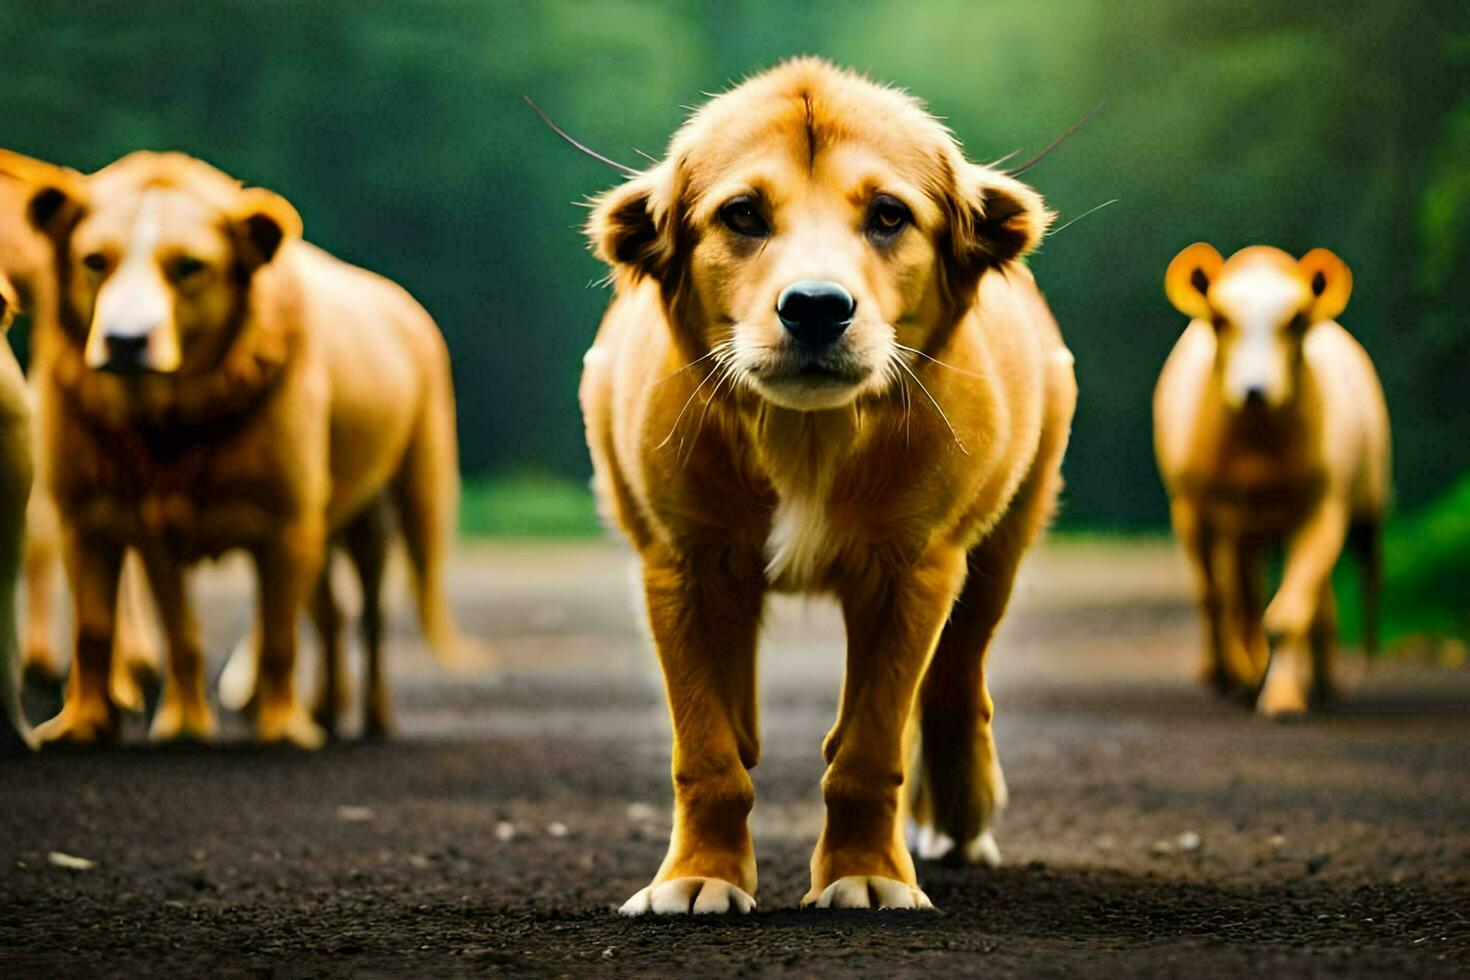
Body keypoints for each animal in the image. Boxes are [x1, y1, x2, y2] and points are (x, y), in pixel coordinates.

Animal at [579, 61, 1076, 916]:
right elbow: (706, 748)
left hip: (1003, 543)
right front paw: (699, 874)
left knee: (957, 680)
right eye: (742, 214)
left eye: (888, 216)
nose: (816, 308)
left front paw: (867, 872)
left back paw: (961, 814)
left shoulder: (915, 568)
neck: (805, 439)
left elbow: (870, 748)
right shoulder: (681, 563)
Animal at [1158, 245, 1387, 717]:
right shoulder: (1204, 509)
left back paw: (1323, 680)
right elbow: (1223, 600)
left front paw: (1282, 697)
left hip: (1364, 498)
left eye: (1296, 320)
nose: (1254, 391)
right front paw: (1238, 678)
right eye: (1220, 319)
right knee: (1235, 598)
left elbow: (1287, 614)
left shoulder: (1324, 508)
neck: (1257, 451)